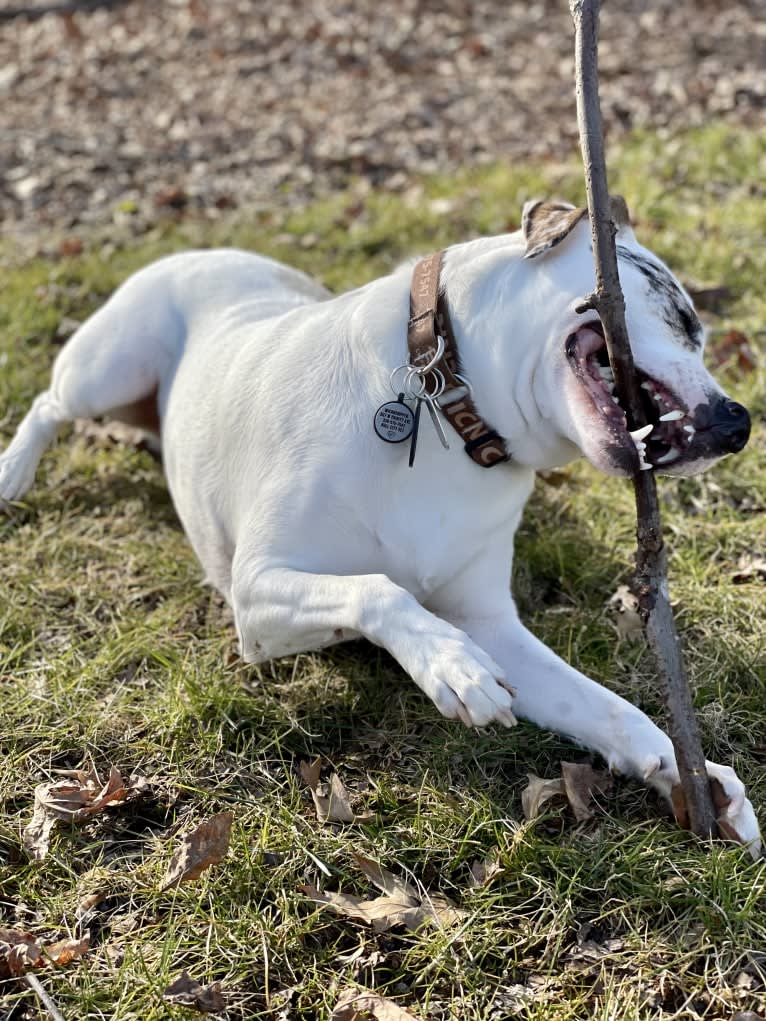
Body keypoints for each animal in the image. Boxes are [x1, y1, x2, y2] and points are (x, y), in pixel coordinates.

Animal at [3, 199, 763, 853]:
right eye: (681, 316)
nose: (738, 423)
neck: (454, 408)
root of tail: (206, 248)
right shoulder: (257, 594)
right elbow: (377, 588)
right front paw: (451, 666)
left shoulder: (493, 625)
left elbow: (607, 707)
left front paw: (688, 773)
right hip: (109, 367)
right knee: (50, 402)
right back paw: (13, 471)